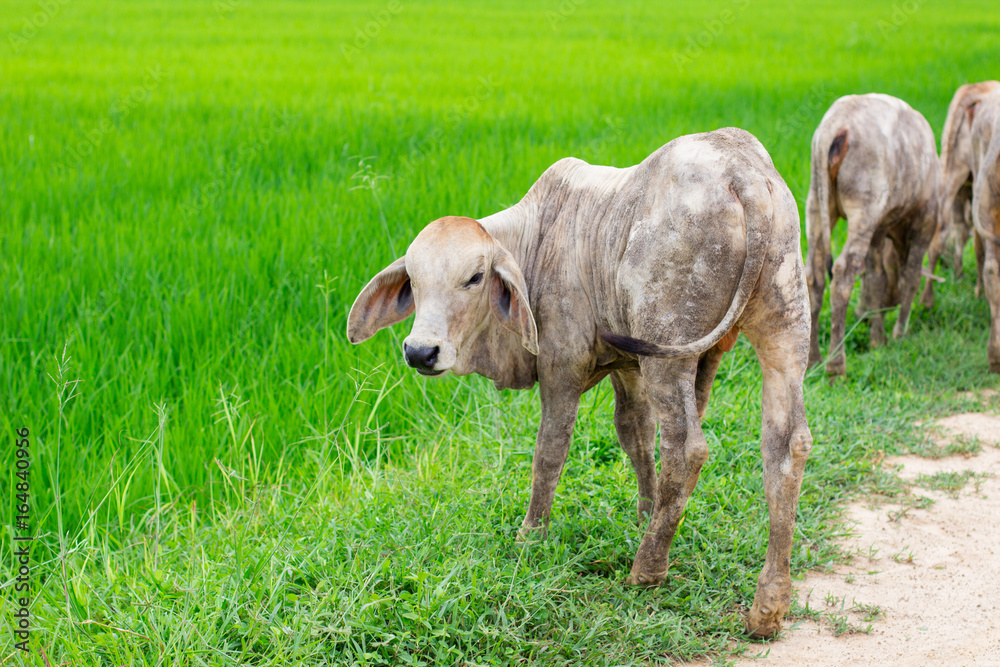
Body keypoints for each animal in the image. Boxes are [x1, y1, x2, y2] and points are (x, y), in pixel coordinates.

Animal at [347, 128, 813, 638]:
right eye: (413, 279)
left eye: (474, 277)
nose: (420, 351)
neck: (537, 237)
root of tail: (743, 173)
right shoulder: (629, 370)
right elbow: (635, 438)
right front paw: (645, 513)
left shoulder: (562, 368)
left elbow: (550, 453)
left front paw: (531, 535)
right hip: (783, 327)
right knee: (786, 447)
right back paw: (768, 607)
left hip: (670, 350)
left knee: (687, 450)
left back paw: (648, 570)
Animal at [805, 94, 939, 376]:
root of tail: (837, 125)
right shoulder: (926, 219)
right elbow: (910, 277)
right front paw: (899, 332)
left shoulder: (879, 231)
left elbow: (877, 279)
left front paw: (878, 338)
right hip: (864, 206)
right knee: (843, 273)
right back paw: (836, 364)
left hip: (817, 202)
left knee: (814, 275)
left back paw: (813, 359)